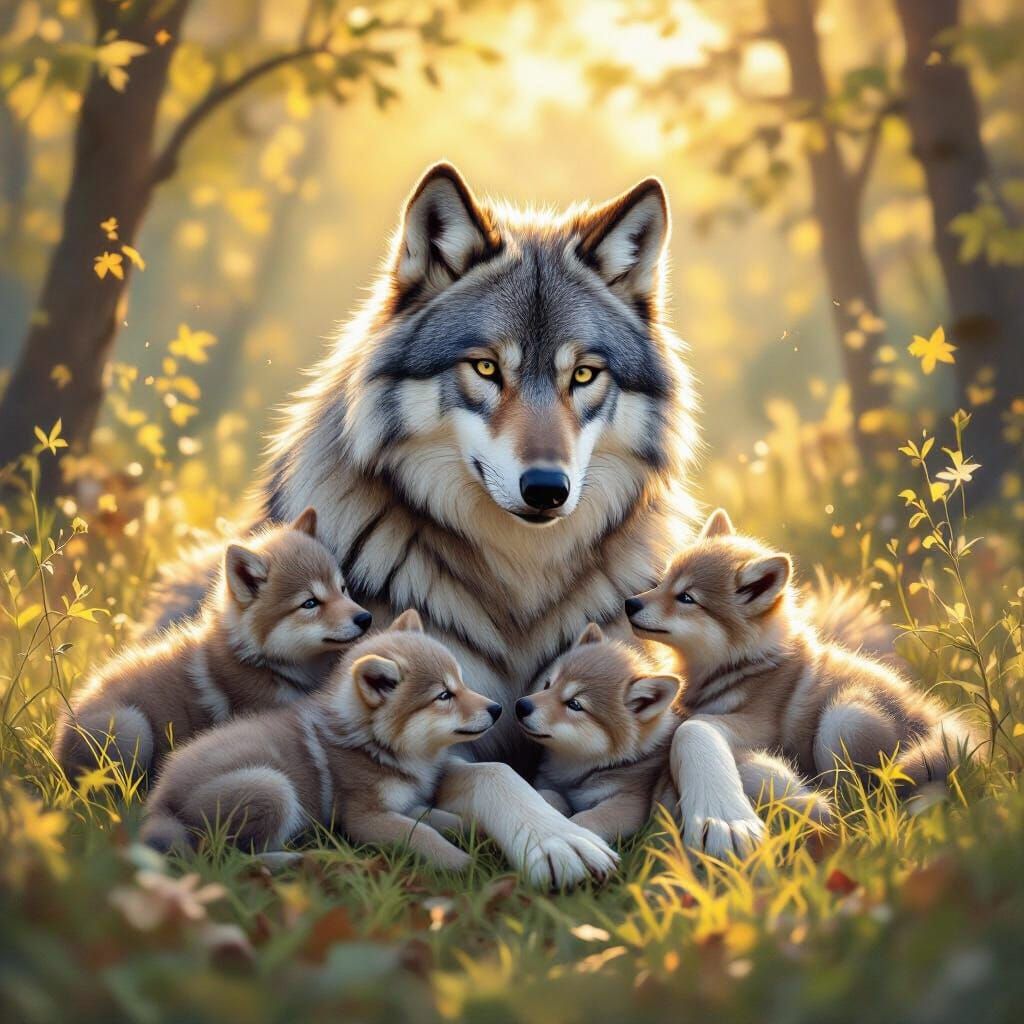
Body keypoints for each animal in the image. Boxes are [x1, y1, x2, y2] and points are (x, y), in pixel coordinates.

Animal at [55, 509, 372, 782]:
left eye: (342, 589)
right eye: (310, 603)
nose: (366, 619)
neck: (262, 662)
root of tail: (60, 739)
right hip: (132, 726)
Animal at [141, 610, 501, 871]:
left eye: (462, 684)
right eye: (444, 696)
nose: (497, 709)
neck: (374, 743)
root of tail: (161, 799)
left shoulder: (405, 804)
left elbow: (442, 819)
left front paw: (479, 833)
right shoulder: (366, 818)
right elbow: (424, 834)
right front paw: (462, 862)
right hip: (272, 787)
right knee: (224, 858)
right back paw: (291, 859)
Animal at [626, 508, 971, 857]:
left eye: (686, 597)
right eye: (664, 581)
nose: (630, 603)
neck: (743, 664)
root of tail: (939, 721)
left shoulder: (759, 726)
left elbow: (691, 726)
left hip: (844, 720)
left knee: (857, 800)